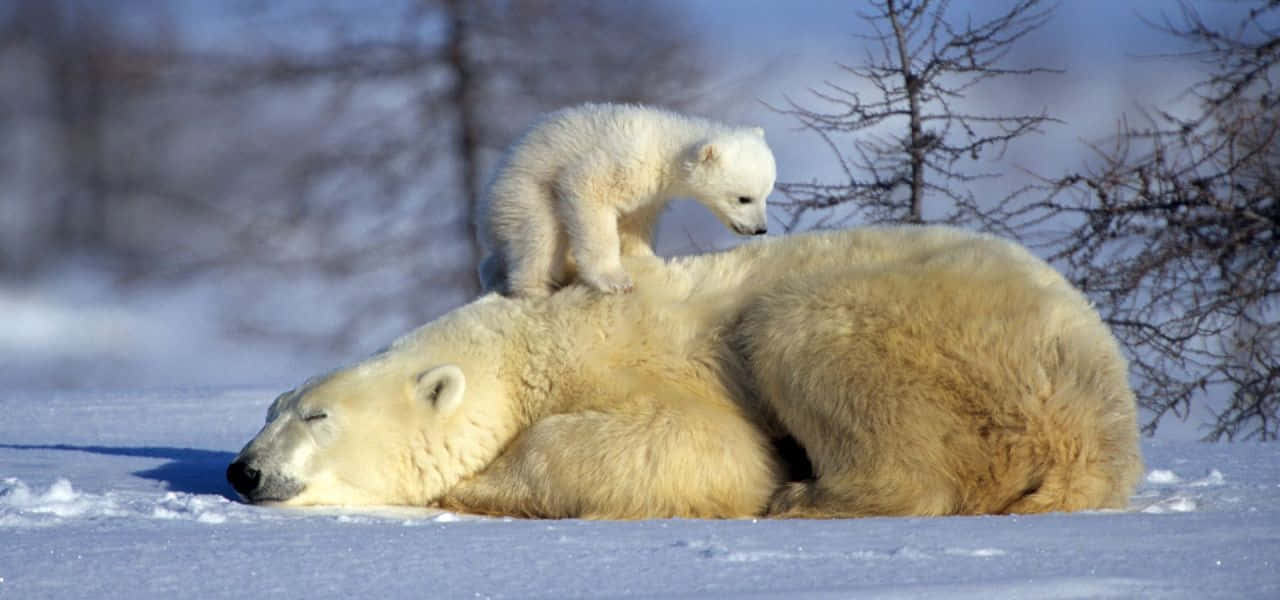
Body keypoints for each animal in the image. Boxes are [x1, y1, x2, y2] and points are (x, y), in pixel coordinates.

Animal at [227, 225, 1143, 519]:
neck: (532, 342)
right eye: (270, 407)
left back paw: (809, 496)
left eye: (316, 416)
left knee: (803, 332)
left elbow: (703, 450)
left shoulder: (643, 360)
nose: (244, 471)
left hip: (937, 334)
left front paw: (479, 486)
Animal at [475, 102, 776, 297]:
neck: (664, 147)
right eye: (744, 198)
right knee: (539, 235)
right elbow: (587, 192)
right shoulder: (623, 161)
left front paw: (643, 256)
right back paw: (534, 288)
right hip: (526, 190)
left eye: (767, 194)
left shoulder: (648, 192)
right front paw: (615, 281)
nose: (760, 229)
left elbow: (635, 222)